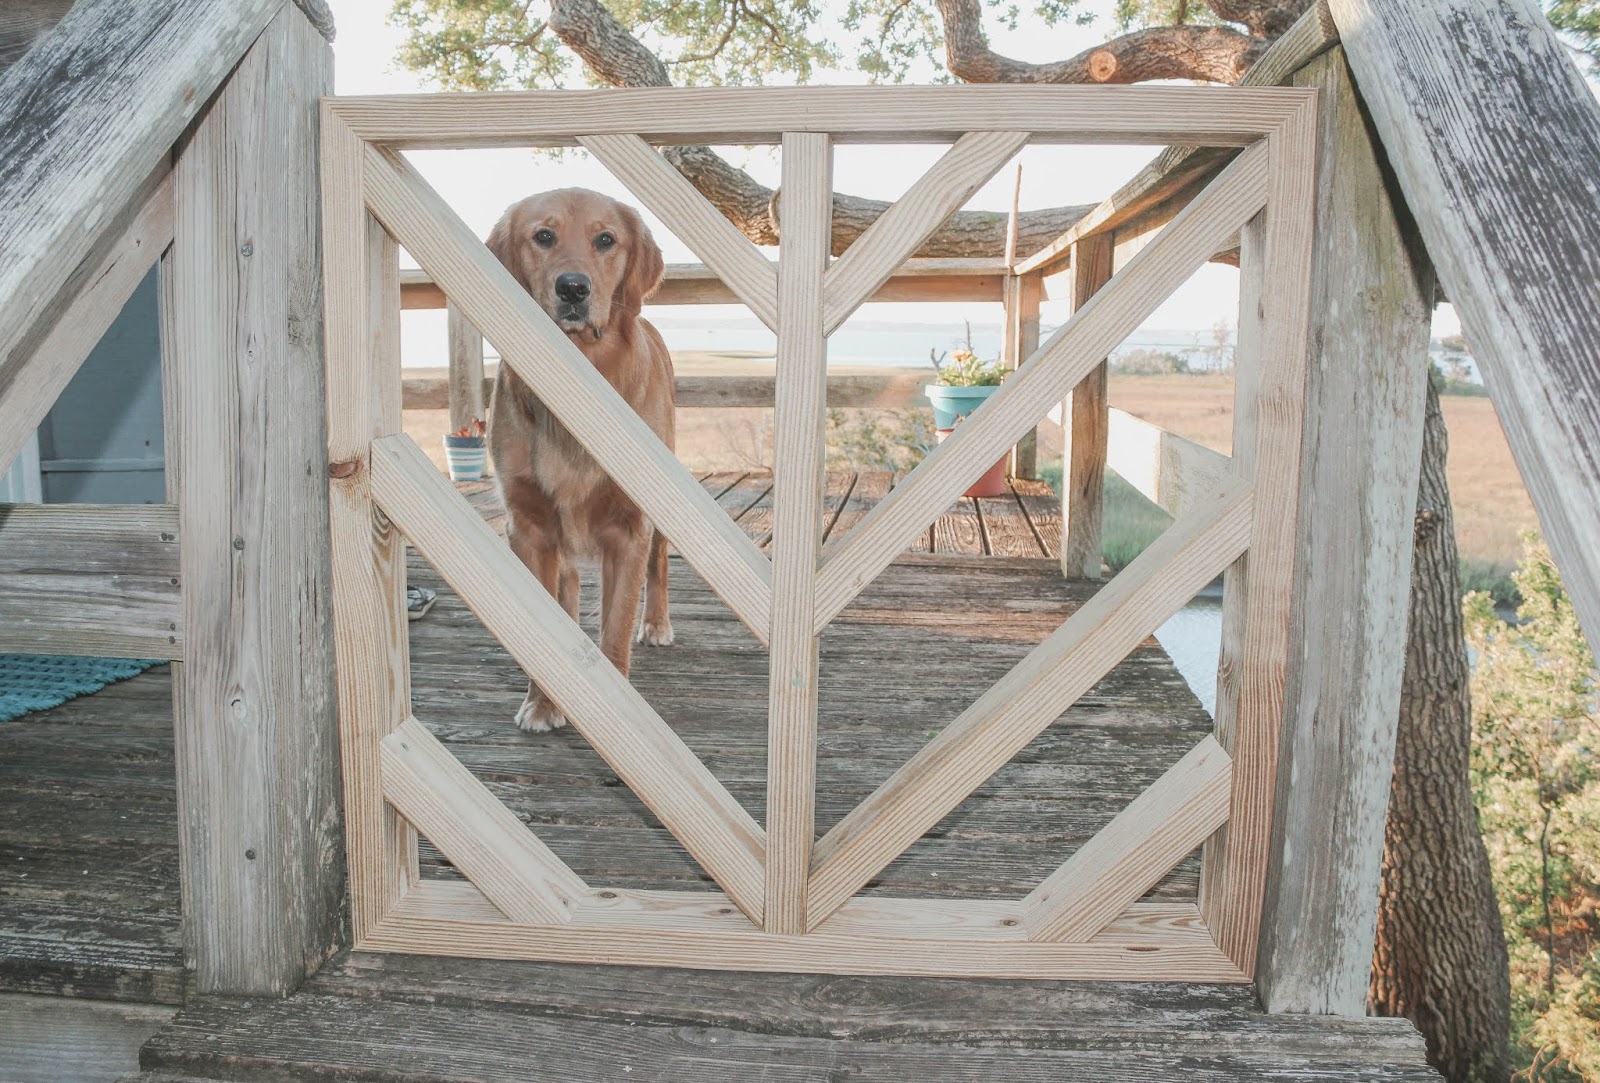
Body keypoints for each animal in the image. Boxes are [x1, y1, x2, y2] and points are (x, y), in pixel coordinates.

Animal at [480, 190, 668, 729]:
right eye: (544, 236)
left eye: (606, 239)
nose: (573, 288)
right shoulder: (528, 525)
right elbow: (546, 630)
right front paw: (544, 703)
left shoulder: (630, 528)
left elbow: (615, 628)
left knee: (660, 564)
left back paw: (657, 623)